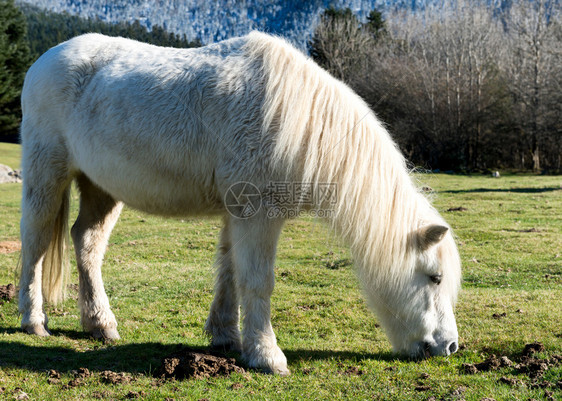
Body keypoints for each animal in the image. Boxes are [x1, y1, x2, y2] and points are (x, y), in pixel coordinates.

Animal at [17, 32, 460, 376]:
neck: (296, 120)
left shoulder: (237, 214)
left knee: (87, 243)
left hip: (100, 187)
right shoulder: (257, 216)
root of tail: (43, 61)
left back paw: (100, 324)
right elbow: (257, 281)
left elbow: (229, 272)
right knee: (35, 244)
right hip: (46, 174)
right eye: (434, 277)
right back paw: (34, 321)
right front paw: (267, 355)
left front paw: (226, 337)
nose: (450, 347)